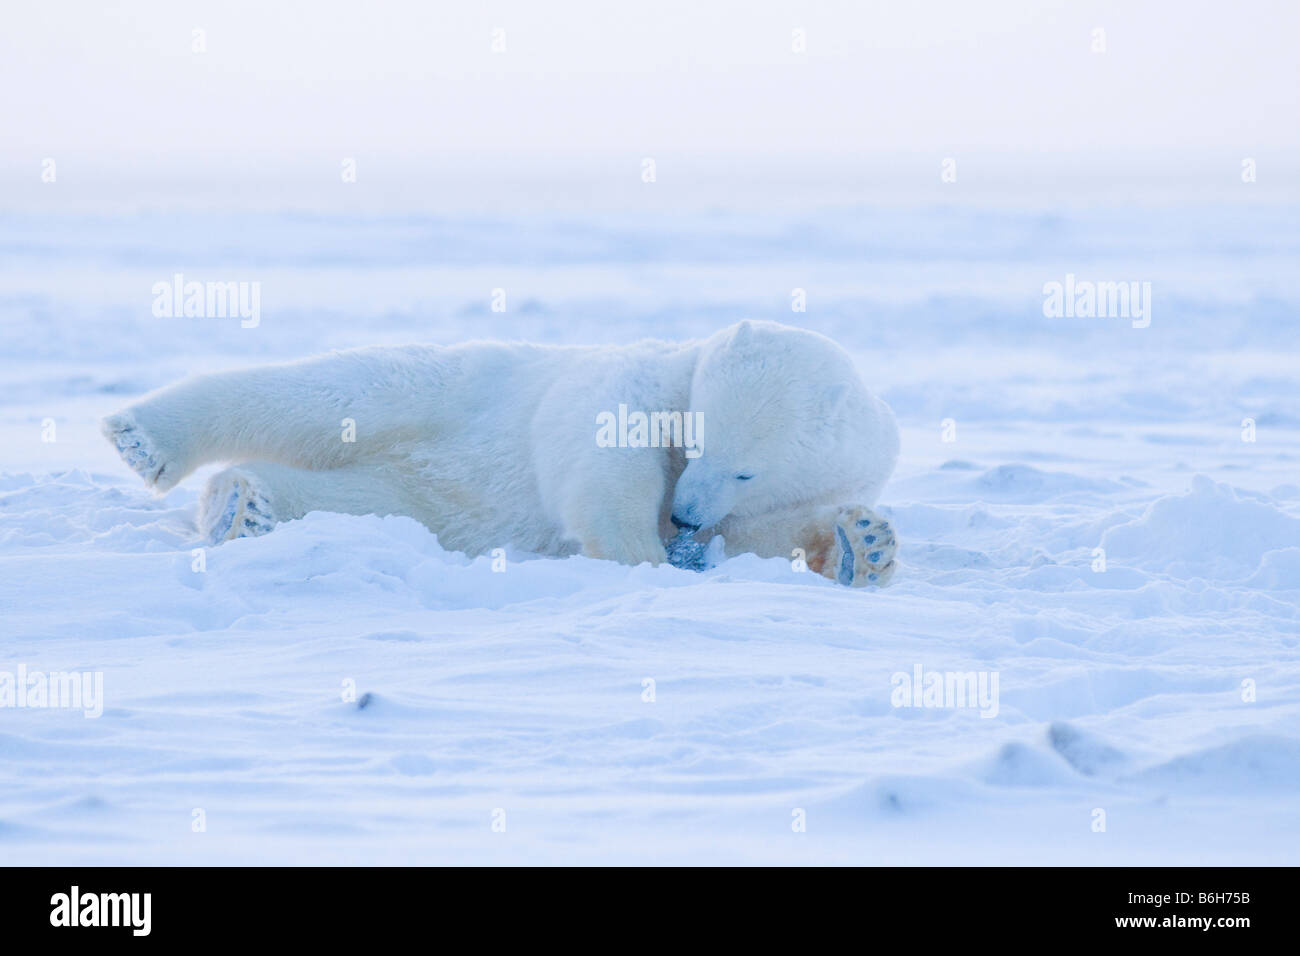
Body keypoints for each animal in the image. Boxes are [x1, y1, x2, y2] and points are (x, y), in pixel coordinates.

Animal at [102, 320, 900, 586]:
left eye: (745, 467)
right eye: (694, 439)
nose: (683, 517)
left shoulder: (839, 471)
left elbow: (764, 534)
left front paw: (864, 544)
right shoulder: (659, 375)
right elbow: (602, 435)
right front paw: (637, 547)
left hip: (420, 496)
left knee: (348, 498)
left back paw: (245, 506)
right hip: (455, 393)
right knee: (329, 395)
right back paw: (146, 439)